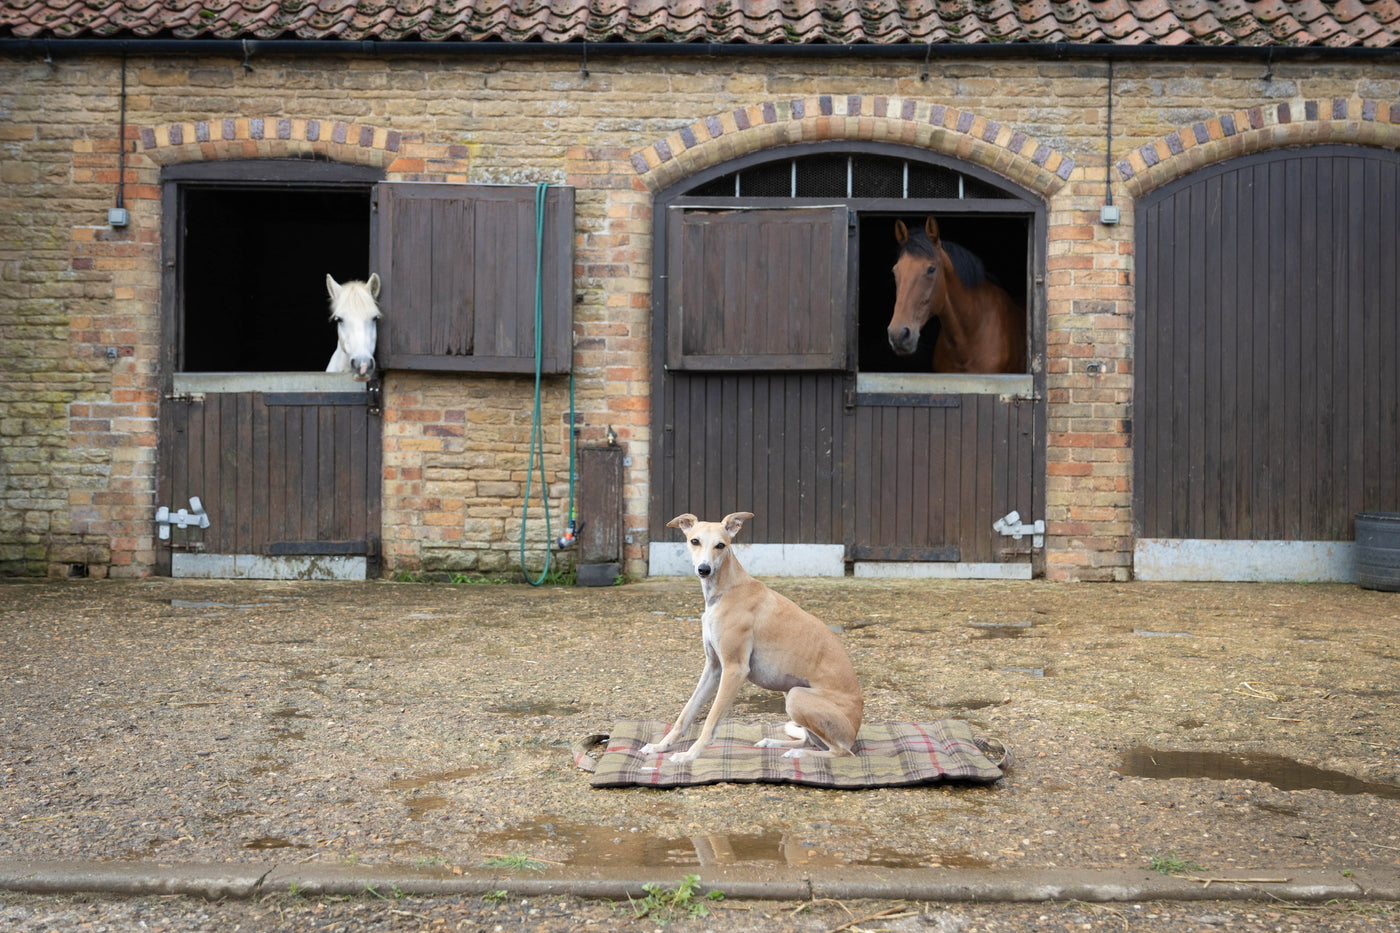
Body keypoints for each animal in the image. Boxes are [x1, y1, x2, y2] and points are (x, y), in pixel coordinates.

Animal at [644, 512, 862, 762]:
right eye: (694, 541)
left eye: (721, 545)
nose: (704, 569)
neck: (727, 590)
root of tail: (855, 731)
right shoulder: (714, 667)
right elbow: (686, 713)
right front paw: (660, 746)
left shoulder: (735, 669)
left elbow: (711, 720)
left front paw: (689, 755)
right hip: (791, 690)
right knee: (812, 741)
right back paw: (773, 742)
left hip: (797, 696)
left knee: (840, 752)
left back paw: (797, 753)